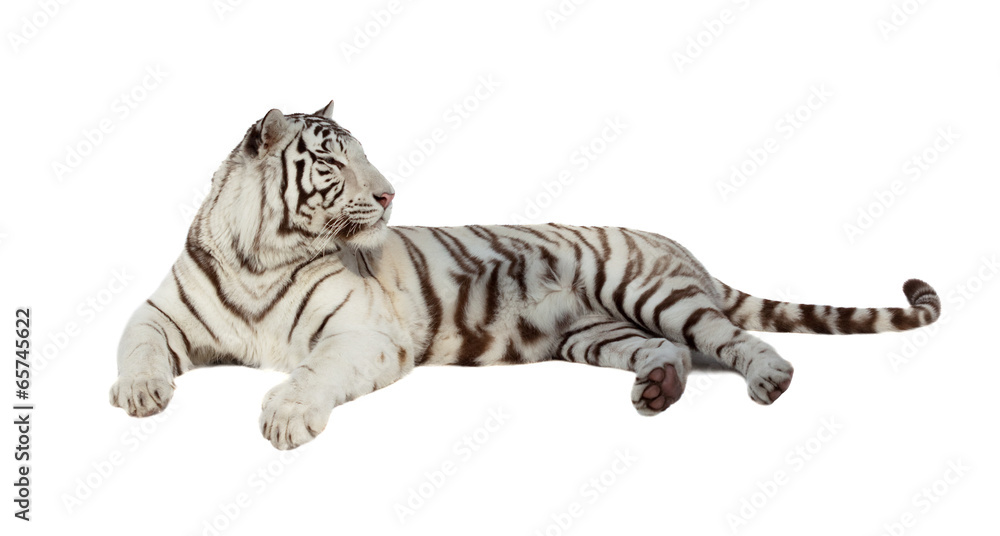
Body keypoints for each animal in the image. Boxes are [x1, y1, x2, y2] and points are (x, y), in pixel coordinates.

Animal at [109, 102, 942, 450]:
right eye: (334, 161)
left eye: (364, 154)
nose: (390, 194)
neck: (261, 256)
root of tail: (680, 247)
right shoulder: (161, 313)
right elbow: (135, 344)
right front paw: (140, 393)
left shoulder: (361, 334)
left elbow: (313, 372)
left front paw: (286, 416)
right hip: (599, 334)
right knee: (669, 351)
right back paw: (656, 391)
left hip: (646, 290)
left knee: (729, 335)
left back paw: (769, 378)